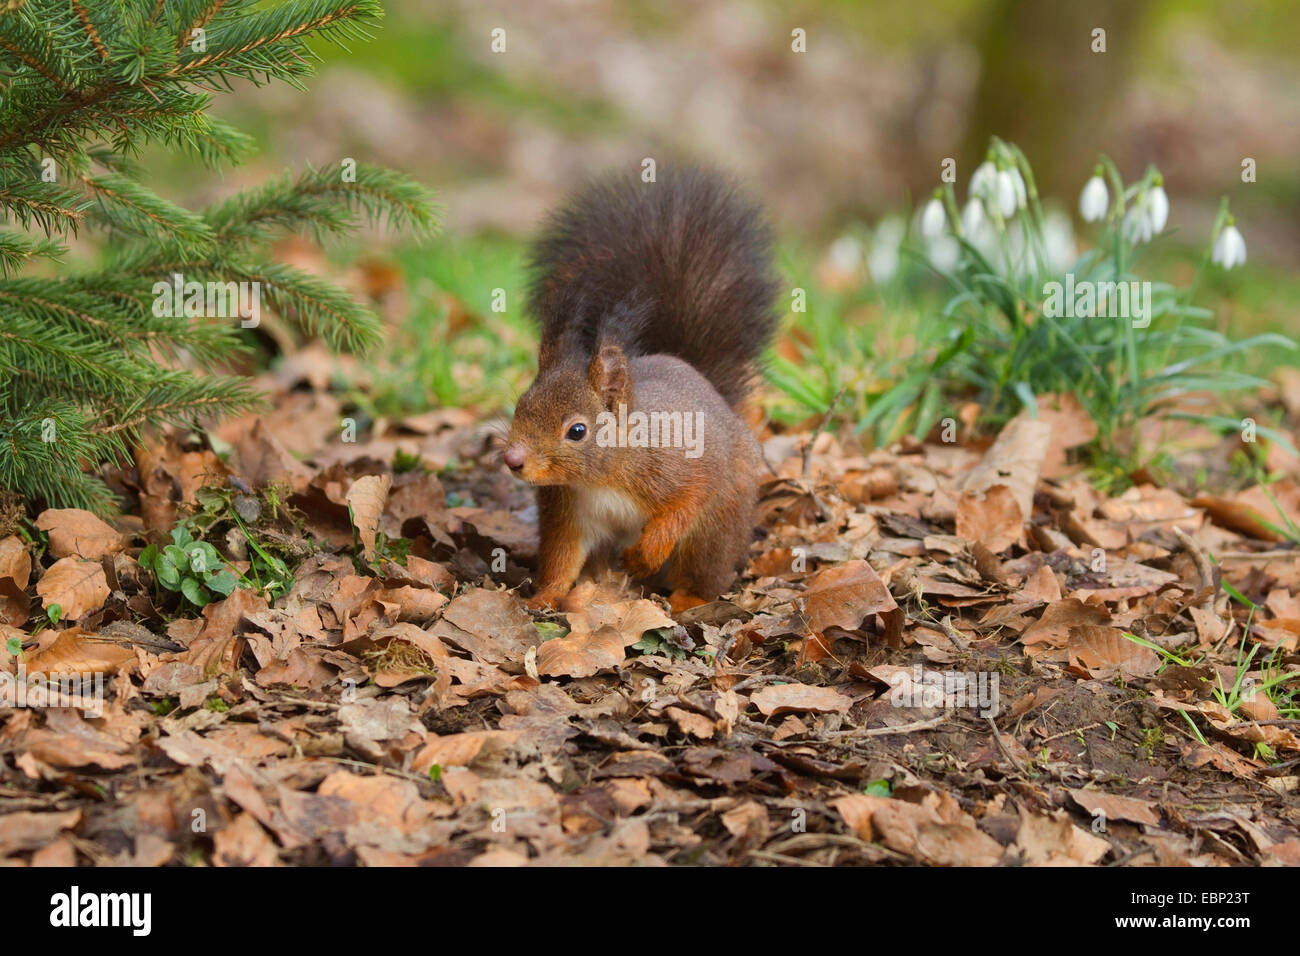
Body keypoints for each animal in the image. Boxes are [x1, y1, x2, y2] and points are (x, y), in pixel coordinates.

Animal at [501, 166, 774, 613]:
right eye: (520, 406)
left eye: (577, 431)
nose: (513, 459)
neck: (601, 477)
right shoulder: (566, 511)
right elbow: (561, 557)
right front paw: (545, 596)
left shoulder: (682, 465)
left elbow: (686, 502)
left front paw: (645, 555)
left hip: (718, 526)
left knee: (706, 572)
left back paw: (686, 598)